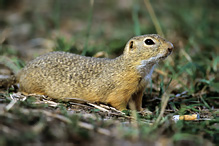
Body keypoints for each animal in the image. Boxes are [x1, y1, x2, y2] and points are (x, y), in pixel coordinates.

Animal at [1, 34, 174, 110]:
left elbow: (137, 103)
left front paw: (143, 112)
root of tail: (21, 71)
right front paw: (127, 112)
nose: (171, 47)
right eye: (149, 41)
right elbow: (118, 102)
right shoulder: (121, 90)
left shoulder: (139, 90)